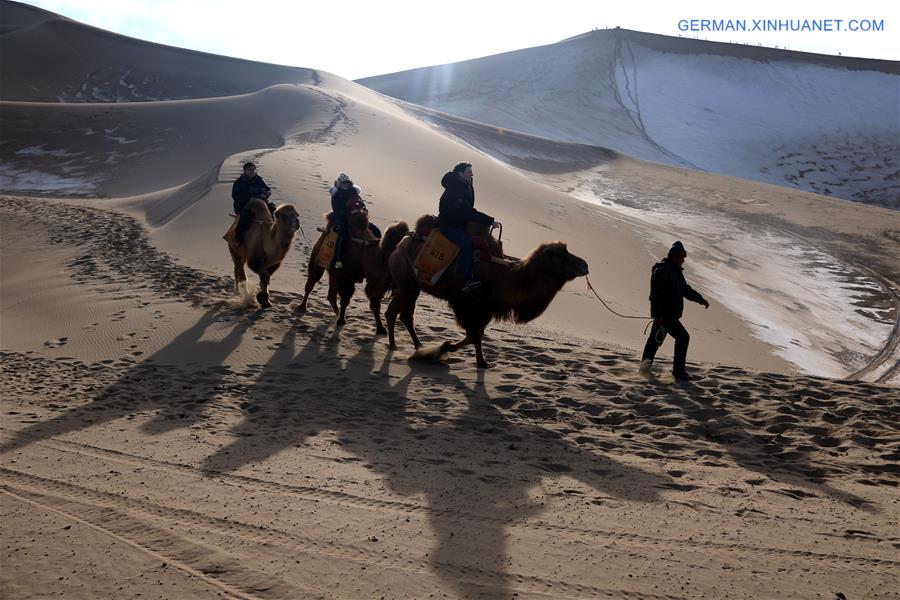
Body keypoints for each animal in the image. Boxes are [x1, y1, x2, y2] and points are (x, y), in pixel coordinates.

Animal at [386, 213, 592, 368]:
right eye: (562, 257)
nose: (585, 265)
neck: (505, 277)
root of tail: (403, 239)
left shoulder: (485, 309)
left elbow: (476, 335)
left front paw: (478, 360)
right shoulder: (467, 305)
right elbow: (474, 335)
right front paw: (446, 348)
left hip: (405, 284)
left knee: (392, 312)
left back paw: (395, 345)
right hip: (409, 284)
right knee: (406, 315)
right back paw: (419, 348)